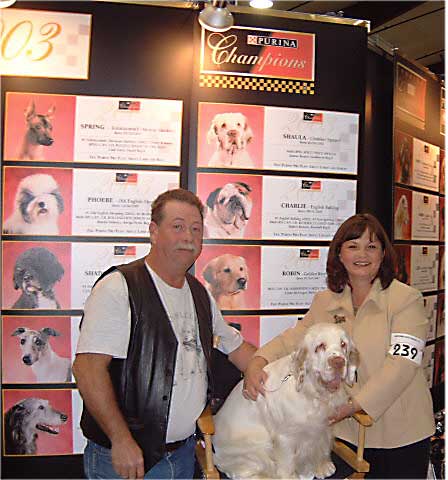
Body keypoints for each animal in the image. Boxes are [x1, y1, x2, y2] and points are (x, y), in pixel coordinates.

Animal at [212, 323, 359, 479]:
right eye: (320, 346)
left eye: (343, 344)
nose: (339, 362)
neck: (312, 392)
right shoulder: (286, 436)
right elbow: (287, 462)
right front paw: (290, 476)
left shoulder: (324, 426)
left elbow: (323, 446)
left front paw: (322, 466)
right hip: (257, 447)